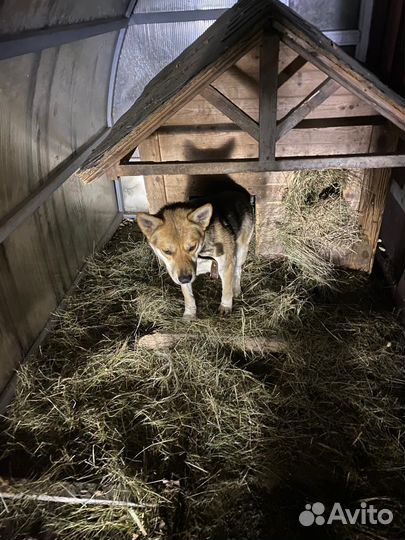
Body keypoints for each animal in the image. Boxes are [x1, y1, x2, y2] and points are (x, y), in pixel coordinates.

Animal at [137, 184, 254, 318]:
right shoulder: (182, 274)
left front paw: (225, 306)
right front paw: (189, 313)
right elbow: (188, 296)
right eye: (166, 251)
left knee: (237, 270)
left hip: (241, 250)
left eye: (192, 247)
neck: (200, 255)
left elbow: (226, 291)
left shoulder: (226, 266)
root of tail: (241, 194)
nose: (185, 279)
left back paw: (236, 288)